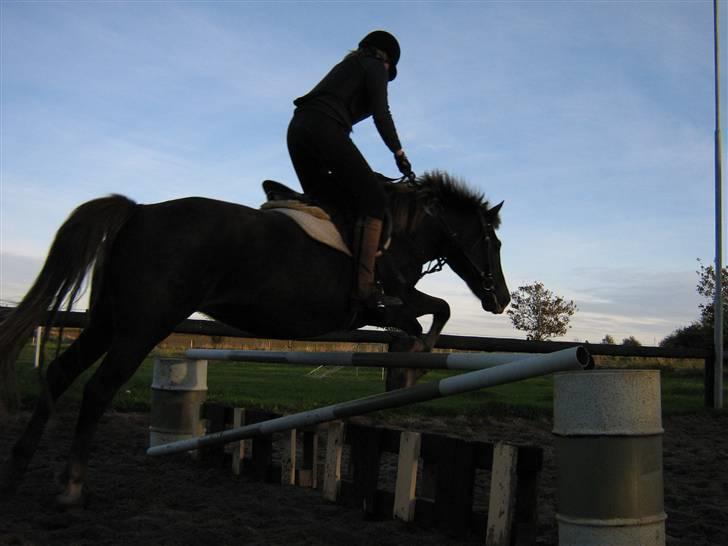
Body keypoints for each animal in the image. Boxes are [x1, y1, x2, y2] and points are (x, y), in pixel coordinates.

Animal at [0, 170, 506, 506]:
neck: (404, 230)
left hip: (108, 321)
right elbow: (433, 314)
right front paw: (418, 359)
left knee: (60, 373)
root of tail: (139, 212)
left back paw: (20, 466)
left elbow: (427, 317)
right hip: (143, 325)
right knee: (98, 388)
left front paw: (410, 362)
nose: (499, 299)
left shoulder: (388, 308)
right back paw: (71, 484)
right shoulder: (390, 301)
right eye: (494, 244)